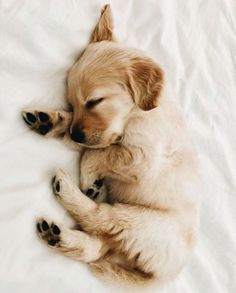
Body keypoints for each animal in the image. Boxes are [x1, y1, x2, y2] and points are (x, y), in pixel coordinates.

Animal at [22, 4, 201, 288]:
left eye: (94, 101)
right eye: (71, 102)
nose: (76, 135)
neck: (136, 114)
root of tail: (164, 276)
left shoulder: (142, 157)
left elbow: (97, 154)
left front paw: (89, 179)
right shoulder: (106, 140)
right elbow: (94, 145)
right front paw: (52, 121)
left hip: (137, 221)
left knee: (100, 219)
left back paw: (67, 190)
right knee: (95, 247)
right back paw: (58, 236)